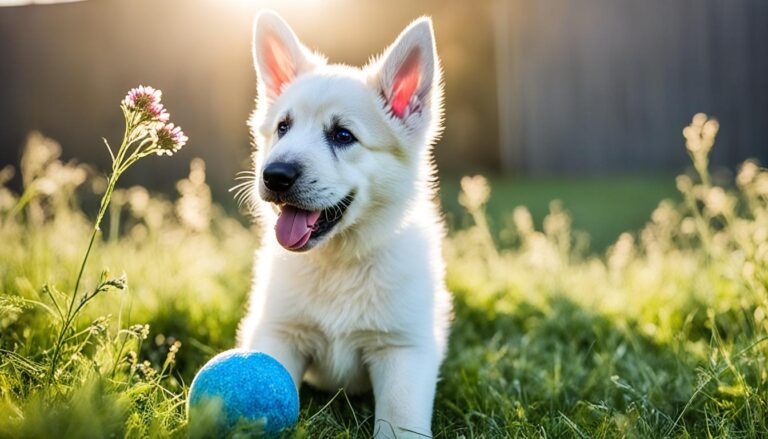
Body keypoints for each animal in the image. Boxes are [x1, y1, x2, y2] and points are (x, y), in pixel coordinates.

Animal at [238, 11, 450, 439]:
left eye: (342, 135)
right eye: (283, 127)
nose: (274, 175)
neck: (340, 262)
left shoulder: (403, 350)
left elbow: (400, 419)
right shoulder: (278, 333)